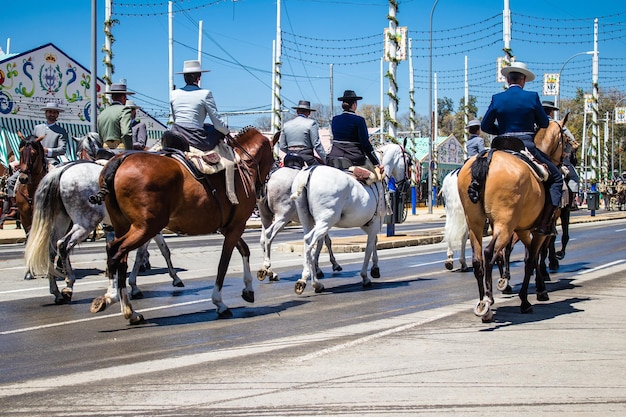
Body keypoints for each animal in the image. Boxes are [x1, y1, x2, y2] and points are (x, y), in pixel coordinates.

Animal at [88, 125, 272, 324]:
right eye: (272, 159)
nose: (262, 190)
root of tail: (120, 159)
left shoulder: (229, 227)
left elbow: (244, 250)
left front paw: (248, 289)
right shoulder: (235, 227)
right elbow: (223, 264)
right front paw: (220, 303)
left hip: (124, 226)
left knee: (120, 258)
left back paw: (129, 310)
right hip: (146, 227)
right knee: (115, 251)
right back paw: (112, 298)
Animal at [286, 142, 404, 292]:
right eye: (409, 160)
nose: (406, 184)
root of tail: (310, 172)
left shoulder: (366, 223)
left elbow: (374, 242)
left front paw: (374, 269)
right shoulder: (375, 222)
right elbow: (369, 246)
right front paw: (366, 275)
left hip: (308, 221)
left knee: (309, 245)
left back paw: (312, 281)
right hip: (325, 221)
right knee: (309, 241)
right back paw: (309, 280)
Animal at [454, 114, 564, 322]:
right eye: (565, 139)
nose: (570, 158)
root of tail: (487, 157)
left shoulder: (522, 229)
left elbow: (530, 256)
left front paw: (538, 288)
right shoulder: (539, 232)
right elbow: (531, 259)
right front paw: (528, 299)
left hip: (475, 224)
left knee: (478, 260)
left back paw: (483, 302)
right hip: (504, 225)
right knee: (490, 253)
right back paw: (488, 303)